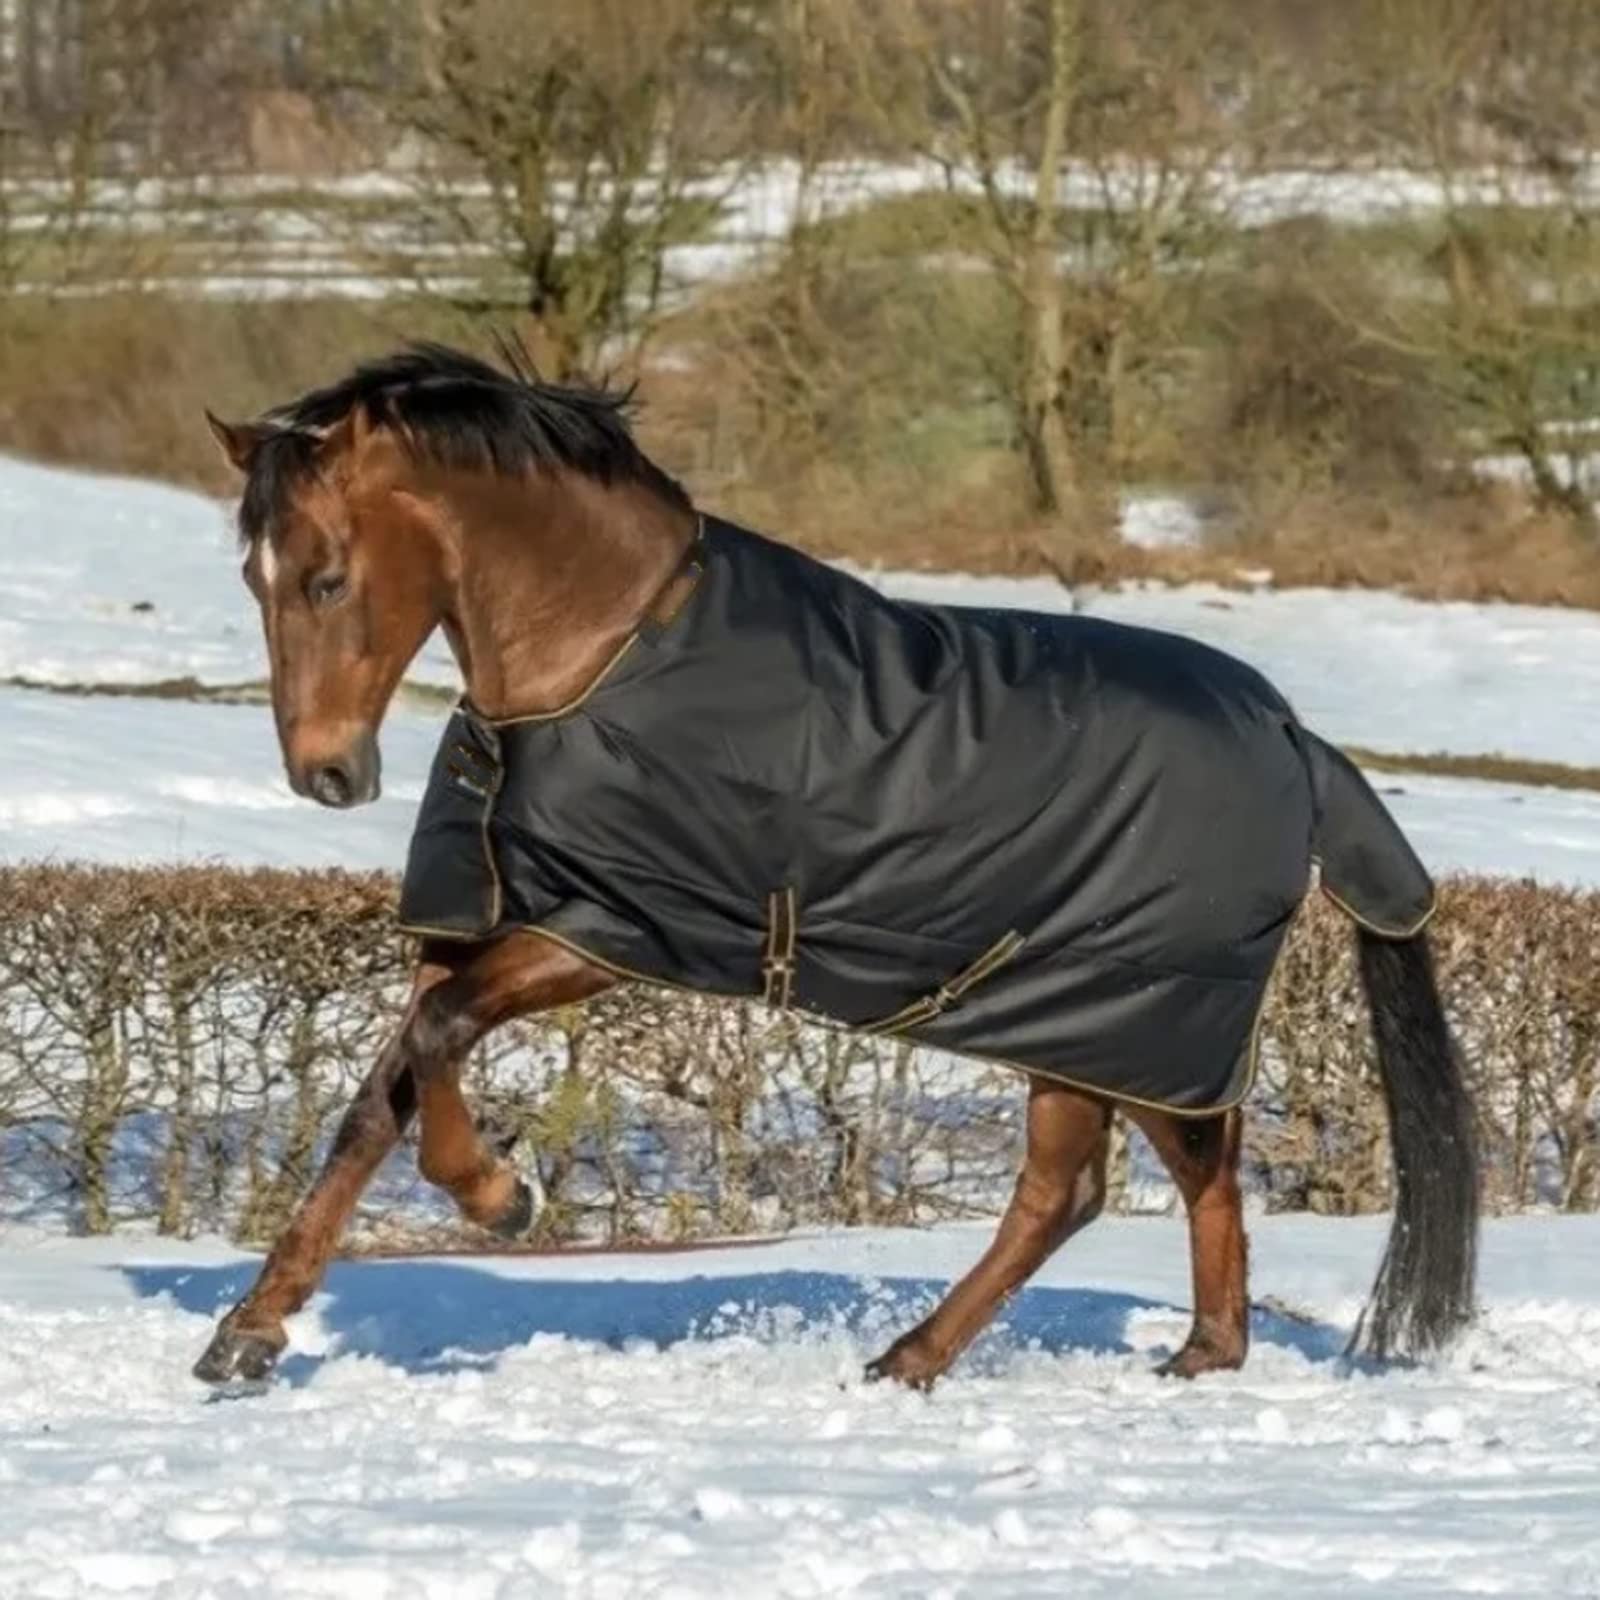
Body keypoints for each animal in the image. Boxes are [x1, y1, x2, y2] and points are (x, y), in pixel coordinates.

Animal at [194, 342, 1479, 1389]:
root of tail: (1298, 744)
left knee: (1091, 1187)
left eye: (325, 576)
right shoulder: (482, 925)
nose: (327, 773)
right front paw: (248, 1335)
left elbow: (438, 1037)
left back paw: (937, 1358)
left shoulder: (606, 932)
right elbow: (382, 1093)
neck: (600, 655)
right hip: (1099, 1029)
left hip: (1122, 1019)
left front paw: (506, 1199)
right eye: (254, 576)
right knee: (1162, 1176)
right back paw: (1171, 1353)